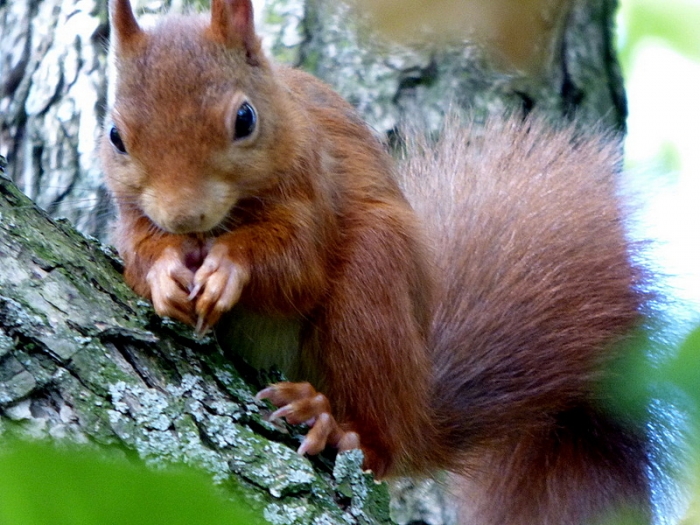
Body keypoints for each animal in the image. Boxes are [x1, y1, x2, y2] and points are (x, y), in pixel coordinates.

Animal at [101, 0, 652, 523]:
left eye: (244, 119)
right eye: (114, 136)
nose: (183, 215)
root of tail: (418, 414)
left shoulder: (316, 186)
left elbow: (299, 266)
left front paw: (229, 268)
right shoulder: (131, 218)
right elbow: (136, 252)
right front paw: (163, 274)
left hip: (374, 286)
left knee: (379, 445)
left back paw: (332, 422)